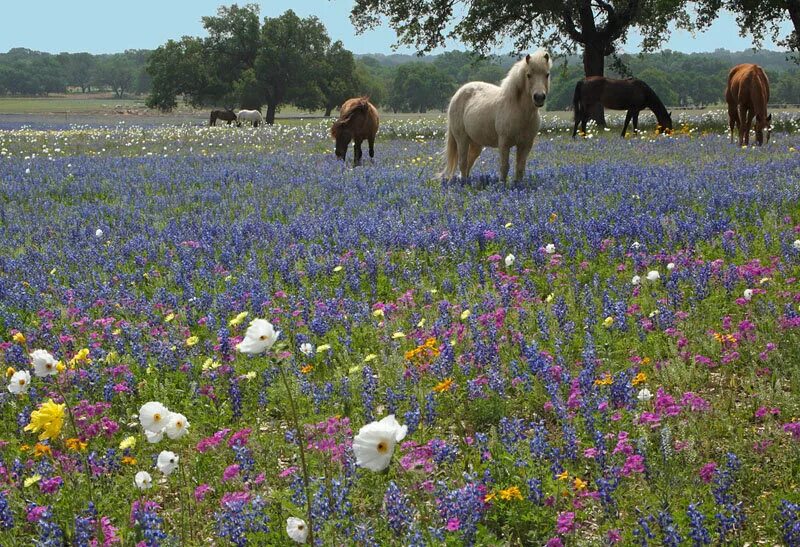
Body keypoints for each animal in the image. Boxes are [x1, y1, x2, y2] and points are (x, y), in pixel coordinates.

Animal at [440, 49, 552, 182]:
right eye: (529, 75)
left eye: (547, 74)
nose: (539, 97)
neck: (520, 111)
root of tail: (457, 94)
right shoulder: (504, 143)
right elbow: (504, 167)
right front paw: (502, 184)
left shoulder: (526, 144)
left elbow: (520, 168)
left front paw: (518, 185)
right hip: (462, 139)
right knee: (463, 163)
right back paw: (464, 184)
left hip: (476, 143)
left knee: (469, 164)